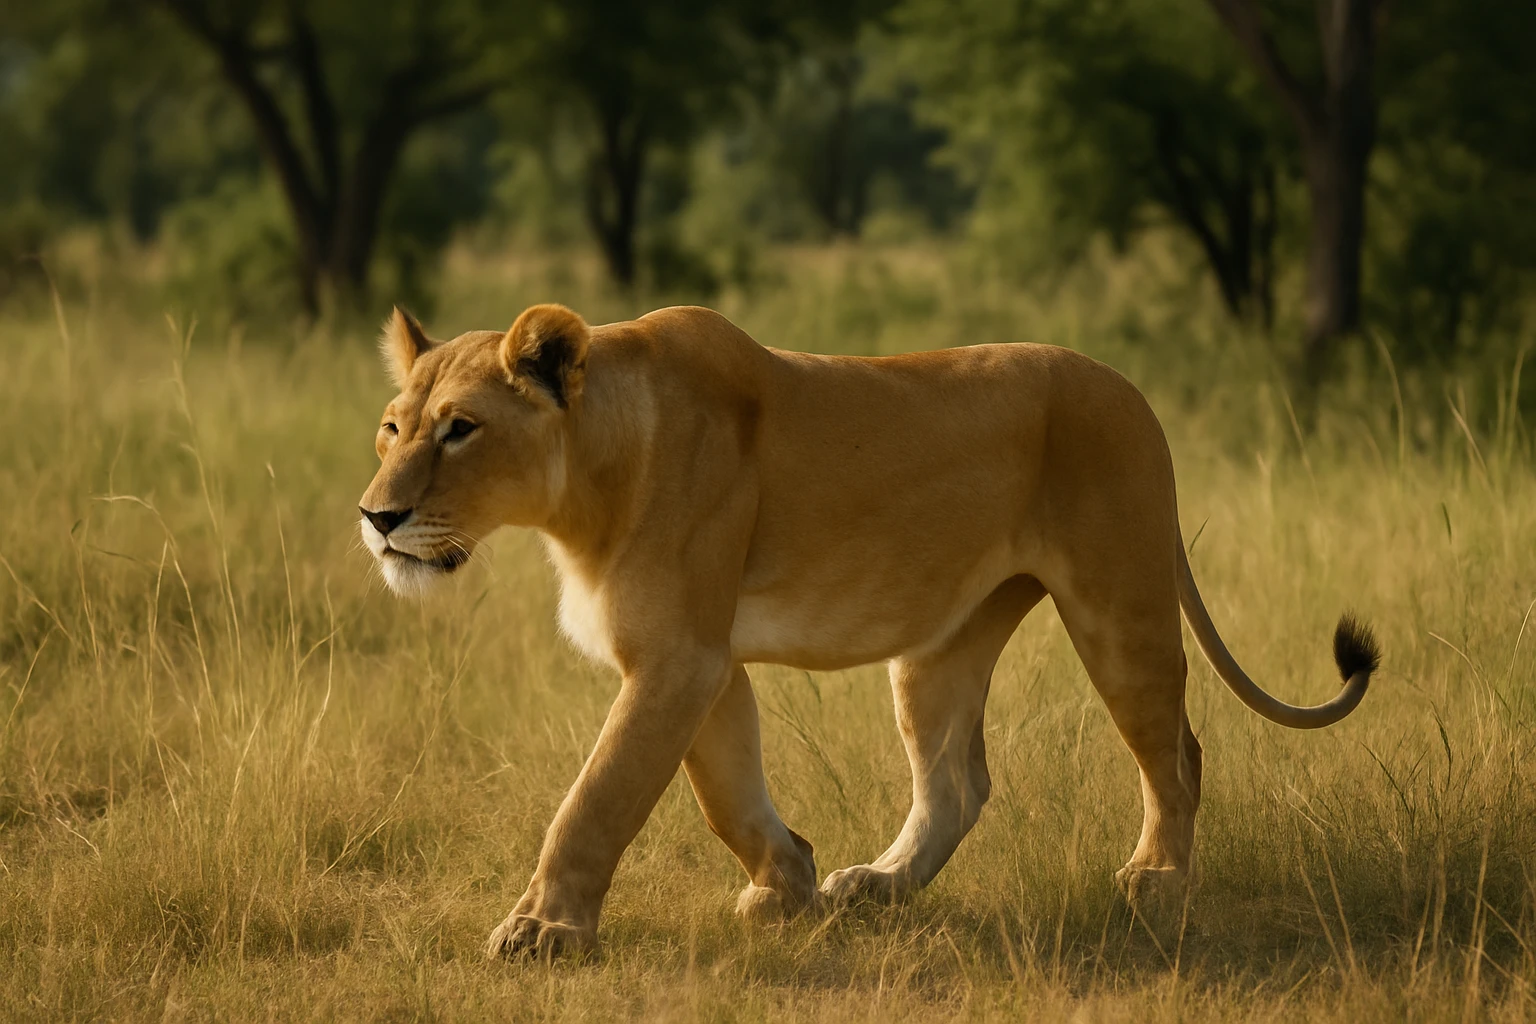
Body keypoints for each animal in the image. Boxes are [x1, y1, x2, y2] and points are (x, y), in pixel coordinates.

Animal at [358, 303, 1380, 959]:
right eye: (391, 428)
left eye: (459, 430)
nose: (376, 518)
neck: (584, 486)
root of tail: (1132, 390)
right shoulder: (704, 660)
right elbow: (725, 790)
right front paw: (789, 884)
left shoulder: (679, 658)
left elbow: (596, 797)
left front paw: (545, 930)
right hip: (942, 644)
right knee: (958, 782)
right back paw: (877, 886)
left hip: (1118, 600)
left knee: (1177, 750)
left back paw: (1158, 880)